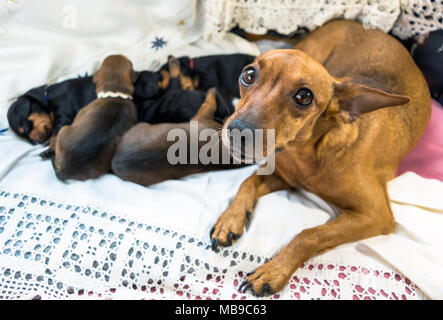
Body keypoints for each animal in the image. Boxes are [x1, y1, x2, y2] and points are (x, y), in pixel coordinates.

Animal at [210, 19, 432, 296]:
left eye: (304, 97)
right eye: (248, 76)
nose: (237, 130)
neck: (306, 154)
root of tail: (352, 21)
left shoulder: (376, 216)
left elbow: (310, 234)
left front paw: (273, 271)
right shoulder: (284, 178)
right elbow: (246, 182)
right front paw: (229, 220)